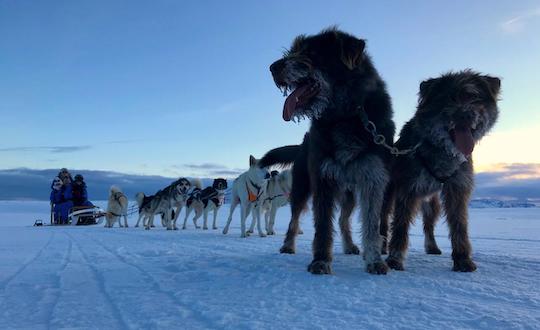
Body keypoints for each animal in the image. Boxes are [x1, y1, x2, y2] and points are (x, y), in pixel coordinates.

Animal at [260, 27, 394, 276]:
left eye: (310, 53)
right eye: (292, 51)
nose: (273, 67)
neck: (345, 115)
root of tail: (302, 143)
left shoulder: (373, 178)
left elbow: (372, 225)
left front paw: (374, 259)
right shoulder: (323, 179)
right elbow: (322, 227)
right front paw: (321, 261)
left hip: (349, 194)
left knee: (343, 220)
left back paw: (350, 245)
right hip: (301, 189)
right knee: (294, 220)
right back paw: (288, 246)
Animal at [380, 70, 502, 274]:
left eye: (473, 96)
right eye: (447, 98)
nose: (464, 115)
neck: (443, 149)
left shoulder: (458, 188)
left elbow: (459, 224)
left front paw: (462, 259)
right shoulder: (408, 188)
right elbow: (400, 225)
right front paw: (395, 258)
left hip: (432, 203)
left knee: (428, 226)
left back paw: (432, 247)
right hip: (388, 195)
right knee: (382, 220)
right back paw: (381, 247)